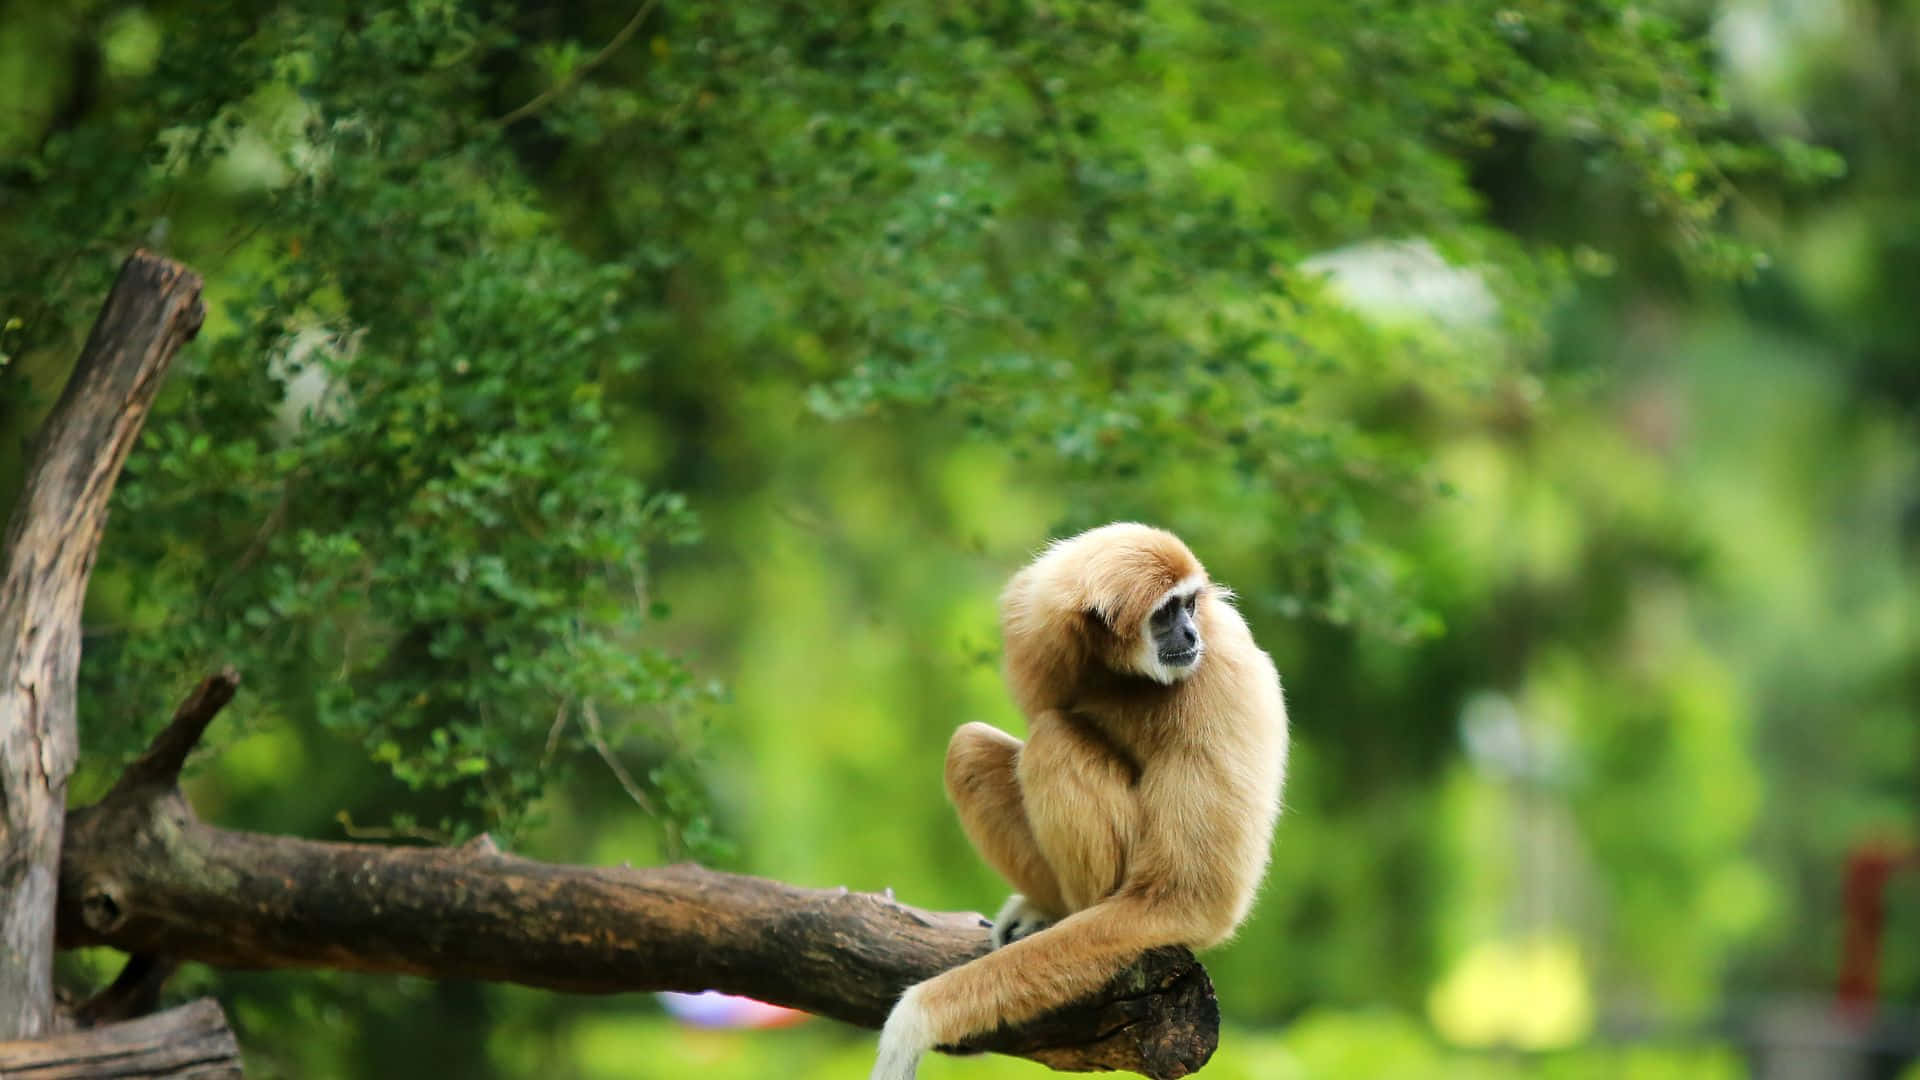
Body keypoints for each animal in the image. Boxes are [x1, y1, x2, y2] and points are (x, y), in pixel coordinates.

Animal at [871, 522, 1289, 1080]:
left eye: (1190, 606)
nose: (1189, 635)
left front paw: (914, 1019)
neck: (1120, 671)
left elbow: (1189, 901)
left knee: (1053, 741)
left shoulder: (1221, 677)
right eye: (1166, 613)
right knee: (972, 748)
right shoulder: (1032, 632)